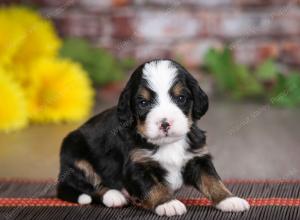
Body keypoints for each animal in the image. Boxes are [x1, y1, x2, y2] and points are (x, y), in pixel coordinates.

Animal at [57, 58, 250, 217]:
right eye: (143, 103)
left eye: (181, 98)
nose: (165, 123)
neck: (168, 144)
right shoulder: (136, 165)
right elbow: (152, 186)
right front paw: (168, 203)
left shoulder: (197, 158)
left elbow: (212, 180)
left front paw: (229, 199)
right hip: (74, 153)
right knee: (84, 184)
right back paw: (114, 195)